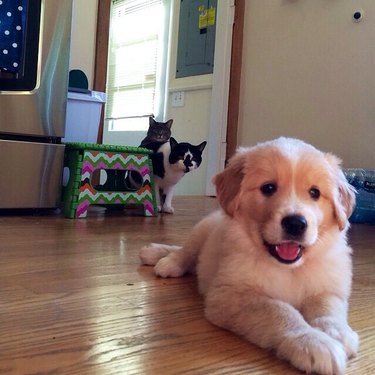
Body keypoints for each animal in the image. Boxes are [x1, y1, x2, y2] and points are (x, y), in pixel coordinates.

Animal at [140, 139, 360, 375]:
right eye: (268, 188)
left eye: (315, 192)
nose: (295, 224)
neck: (288, 268)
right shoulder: (230, 296)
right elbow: (279, 310)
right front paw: (313, 342)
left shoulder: (327, 288)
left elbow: (327, 309)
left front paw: (338, 333)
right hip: (202, 230)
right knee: (185, 252)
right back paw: (163, 259)